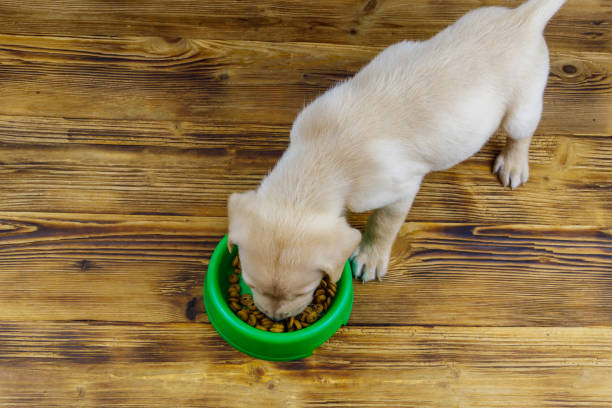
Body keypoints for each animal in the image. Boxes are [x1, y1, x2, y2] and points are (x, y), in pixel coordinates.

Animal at [227, 0, 568, 318]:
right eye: (250, 283)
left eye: (302, 291)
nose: (273, 316)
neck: (323, 156)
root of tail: (522, 18)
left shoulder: (399, 190)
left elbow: (382, 225)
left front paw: (370, 256)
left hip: (522, 109)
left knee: (520, 135)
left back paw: (513, 164)